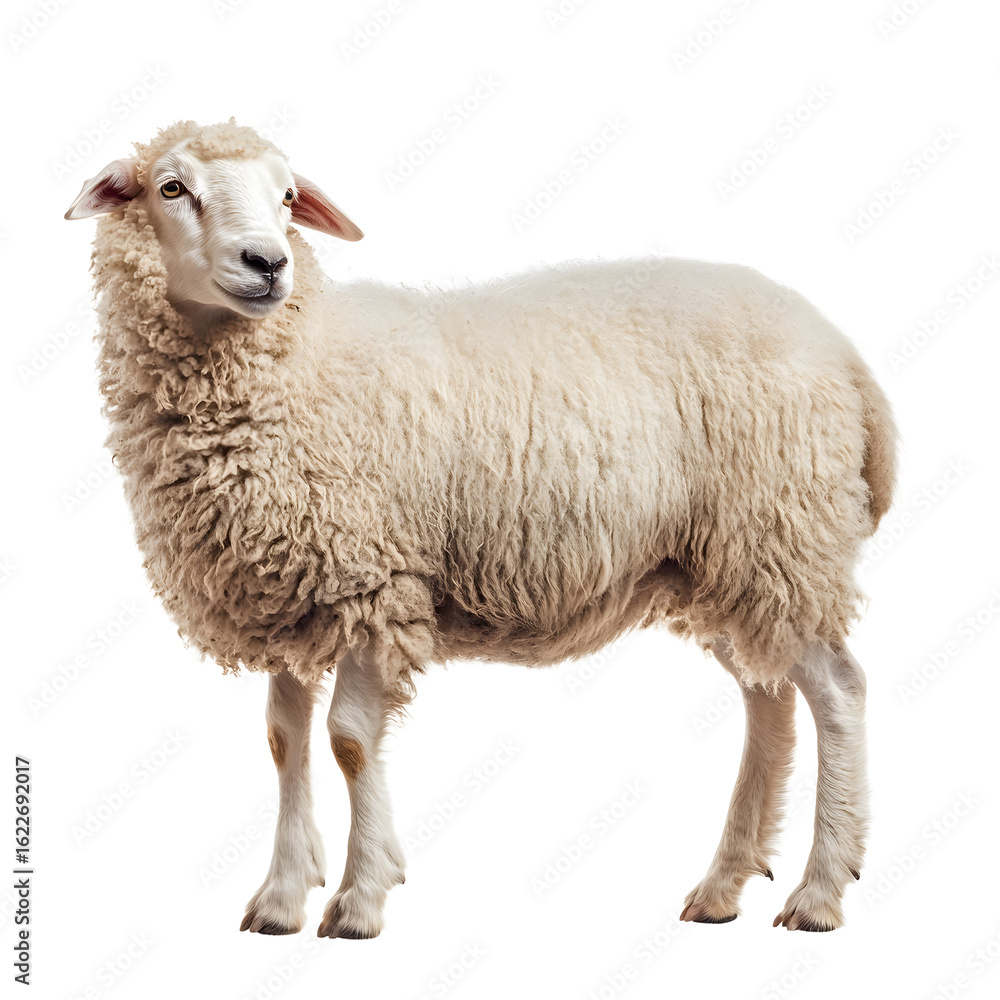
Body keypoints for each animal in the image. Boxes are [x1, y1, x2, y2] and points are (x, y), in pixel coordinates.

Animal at [65, 119, 897, 938]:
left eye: (289, 195)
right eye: (172, 187)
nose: (268, 263)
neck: (298, 366)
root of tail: (845, 354)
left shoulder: (374, 582)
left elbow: (349, 741)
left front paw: (360, 899)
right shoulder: (288, 587)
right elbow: (283, 740)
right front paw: (280, 896)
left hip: (783, 536)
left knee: (838, 689)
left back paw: (821, 891)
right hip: (724, 565)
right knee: (770, 699)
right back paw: (724, 886)